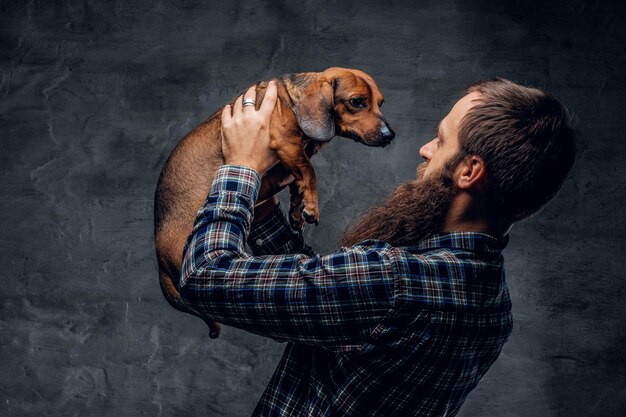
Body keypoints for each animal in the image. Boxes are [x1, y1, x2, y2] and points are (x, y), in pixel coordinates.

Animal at [153, 66, 392, 336]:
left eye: (380, 103)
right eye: (357, 102)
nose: (390, 135)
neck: (290, 100)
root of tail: (160, 261)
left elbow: (298, 181)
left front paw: (299, 211)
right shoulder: (287, 143)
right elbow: (309, 171)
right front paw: (310, 206)